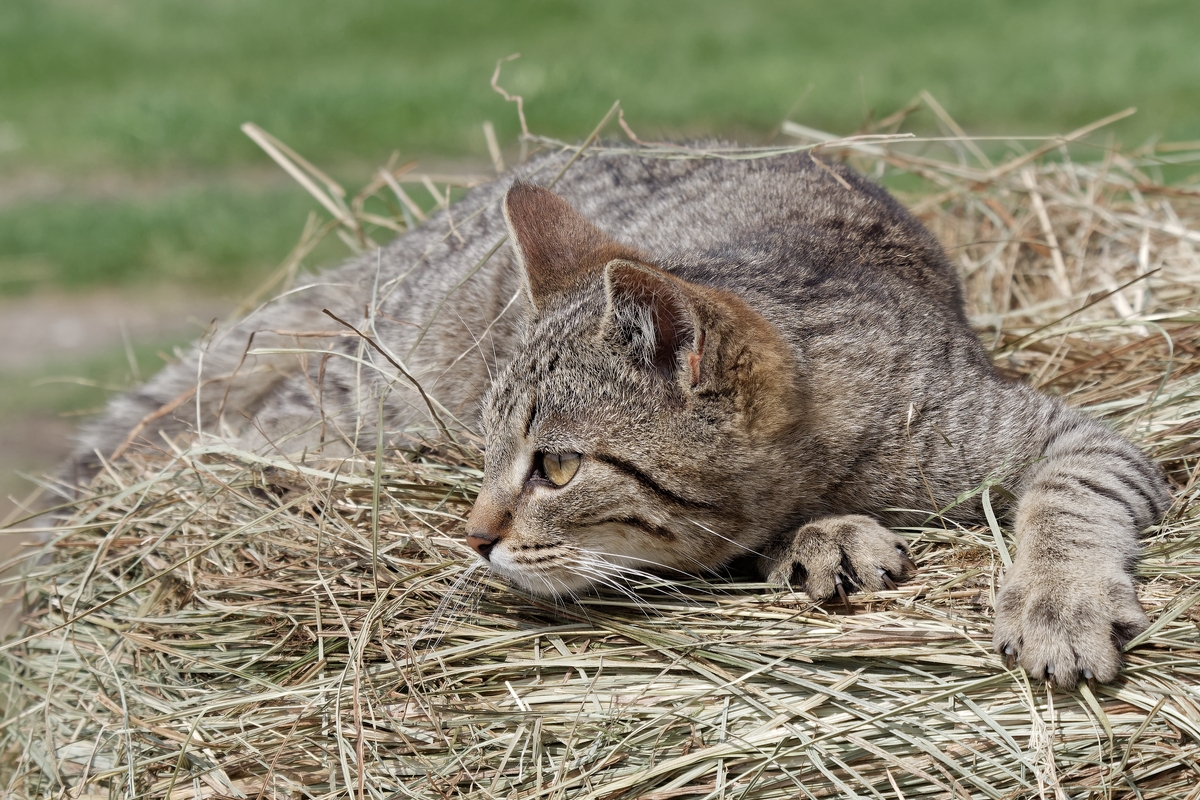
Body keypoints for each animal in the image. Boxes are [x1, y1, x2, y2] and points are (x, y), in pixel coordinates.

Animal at [70, 146, 1166, 690]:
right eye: (489, 454)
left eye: (555, 468)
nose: (472, 536)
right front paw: (826, 539)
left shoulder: (1078, 434)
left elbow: (1073, 495)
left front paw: (1059, 598)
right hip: (370, 384)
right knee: (234, 420)